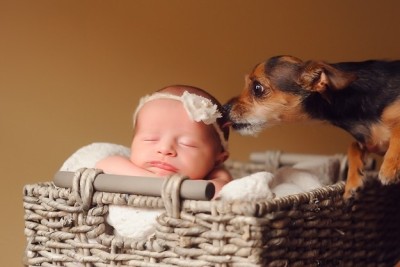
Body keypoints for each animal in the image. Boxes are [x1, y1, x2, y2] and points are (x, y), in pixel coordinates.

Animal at [225, 56, 400, 199]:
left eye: (257, 88)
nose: (225, 108)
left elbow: (396, 131)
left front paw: (389, 168)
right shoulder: (369, 141)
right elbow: (353, 146)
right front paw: (353, 181)